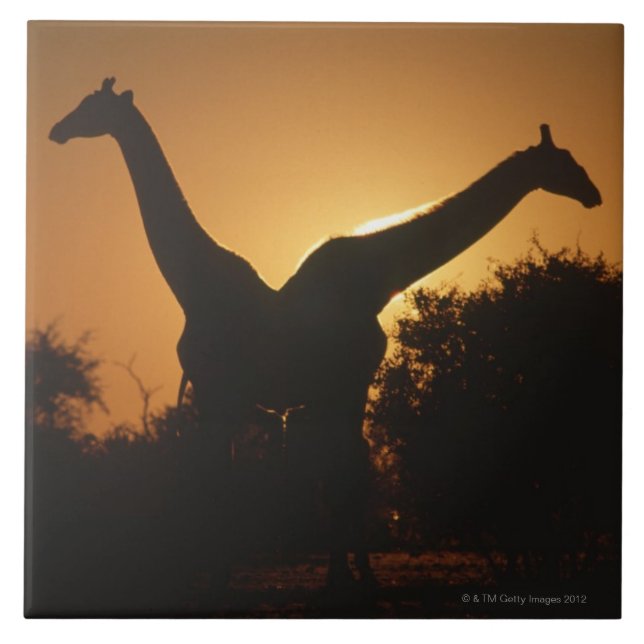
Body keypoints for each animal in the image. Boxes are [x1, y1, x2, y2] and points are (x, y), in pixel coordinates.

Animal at [49, 78, 602, 590]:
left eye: (89, 105)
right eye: (566, 162)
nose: (593, 194)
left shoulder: (340, 387)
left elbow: (343, 473)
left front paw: (351, 576)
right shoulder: (252, 391)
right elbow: (314, 475)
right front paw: (341, 576)